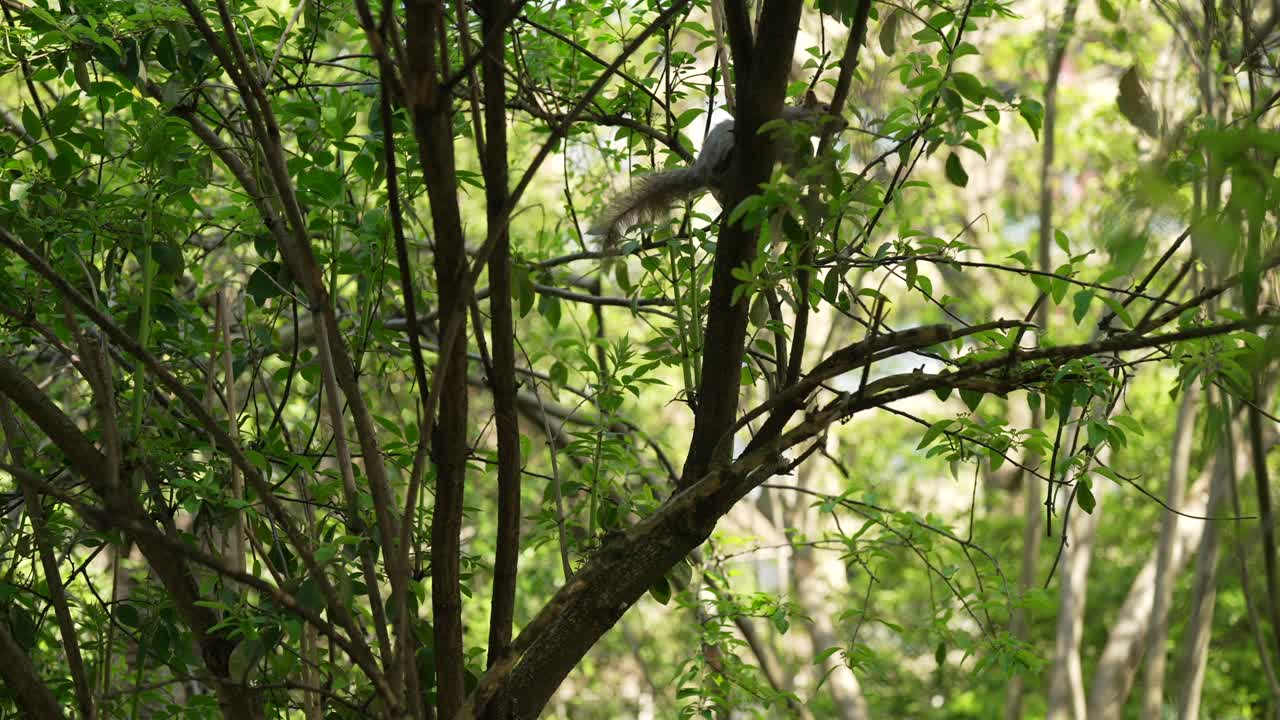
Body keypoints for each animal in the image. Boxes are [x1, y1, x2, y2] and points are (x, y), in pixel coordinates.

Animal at [589, 91, 842, 248]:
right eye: (825, 107)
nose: (846, 123)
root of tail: (700, 171)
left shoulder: (790, 152)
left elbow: (795, 169)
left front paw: (820, 173)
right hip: (723, 145)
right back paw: (727, 159)